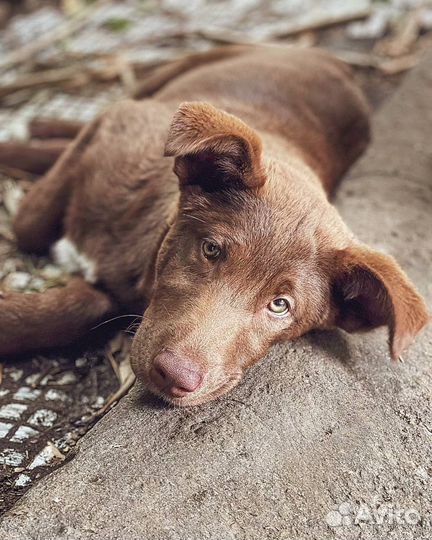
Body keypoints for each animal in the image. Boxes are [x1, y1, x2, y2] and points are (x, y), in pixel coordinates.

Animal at [0, 47, 426, 404]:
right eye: (211, 250)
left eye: (280, 306)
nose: (175, 376)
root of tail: (341, 64)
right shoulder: (116, 122)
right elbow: (28, 224)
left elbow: (79, 307)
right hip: (176, 73)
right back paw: (36, 128)